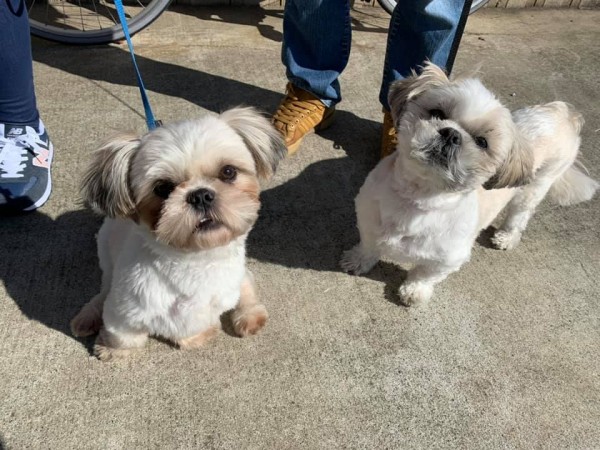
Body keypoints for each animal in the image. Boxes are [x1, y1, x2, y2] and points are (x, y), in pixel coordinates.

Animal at [70, 107, 286, 360]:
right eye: (162, 188)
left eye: (228, 172)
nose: (200, 195)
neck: (197, 261)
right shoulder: (124, 310)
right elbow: (123, 336)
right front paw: (114, 350)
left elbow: (194, 325)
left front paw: (198, 336)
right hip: (105, 252)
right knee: (104, 288)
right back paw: (89, 314)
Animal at [340, 63, 596, 308]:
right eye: (437, 113)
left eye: (482, 142)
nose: (451, 134)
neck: (417, 197)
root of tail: (560, 113)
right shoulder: (368, 221)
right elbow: (369, 246)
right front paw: (358, 260)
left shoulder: (448, 259)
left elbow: (424, 275)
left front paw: (414, 291)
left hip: (535, 187)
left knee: (520, 214)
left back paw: (506, 237)